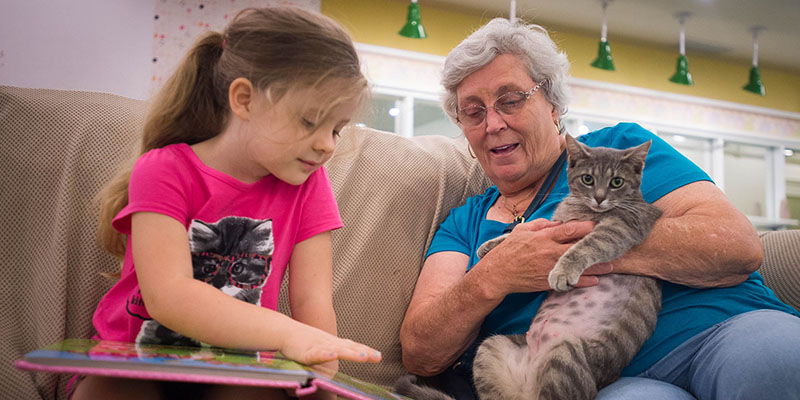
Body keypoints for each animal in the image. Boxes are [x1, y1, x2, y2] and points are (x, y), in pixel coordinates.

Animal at [394, 135, 664, 400]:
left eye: (617, 182)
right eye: (588, 179)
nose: (599, 198)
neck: (581, 209)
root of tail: (528, 386)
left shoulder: (620, 227)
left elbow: (586, 246)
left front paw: (562, 271)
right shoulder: (555, 224)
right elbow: (525, 231)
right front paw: (492, 246)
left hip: (563, 354)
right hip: (490, 347)